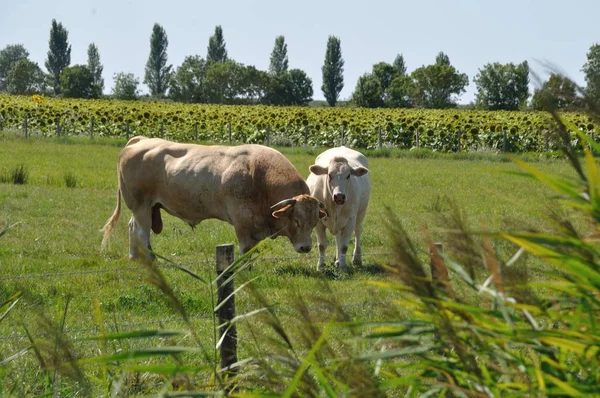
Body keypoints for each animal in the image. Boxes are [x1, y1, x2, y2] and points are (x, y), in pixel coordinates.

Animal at [102, 137, 328, 262]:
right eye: (296, 221)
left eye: (314, 222)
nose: (305, 248)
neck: (260, 175)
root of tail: (141, 140)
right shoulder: (242, 220)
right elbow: (245, 249)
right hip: (140, 206)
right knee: (141, 231)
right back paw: (149, 258)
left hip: (146, 208)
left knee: (133, 228)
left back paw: (135, 257)